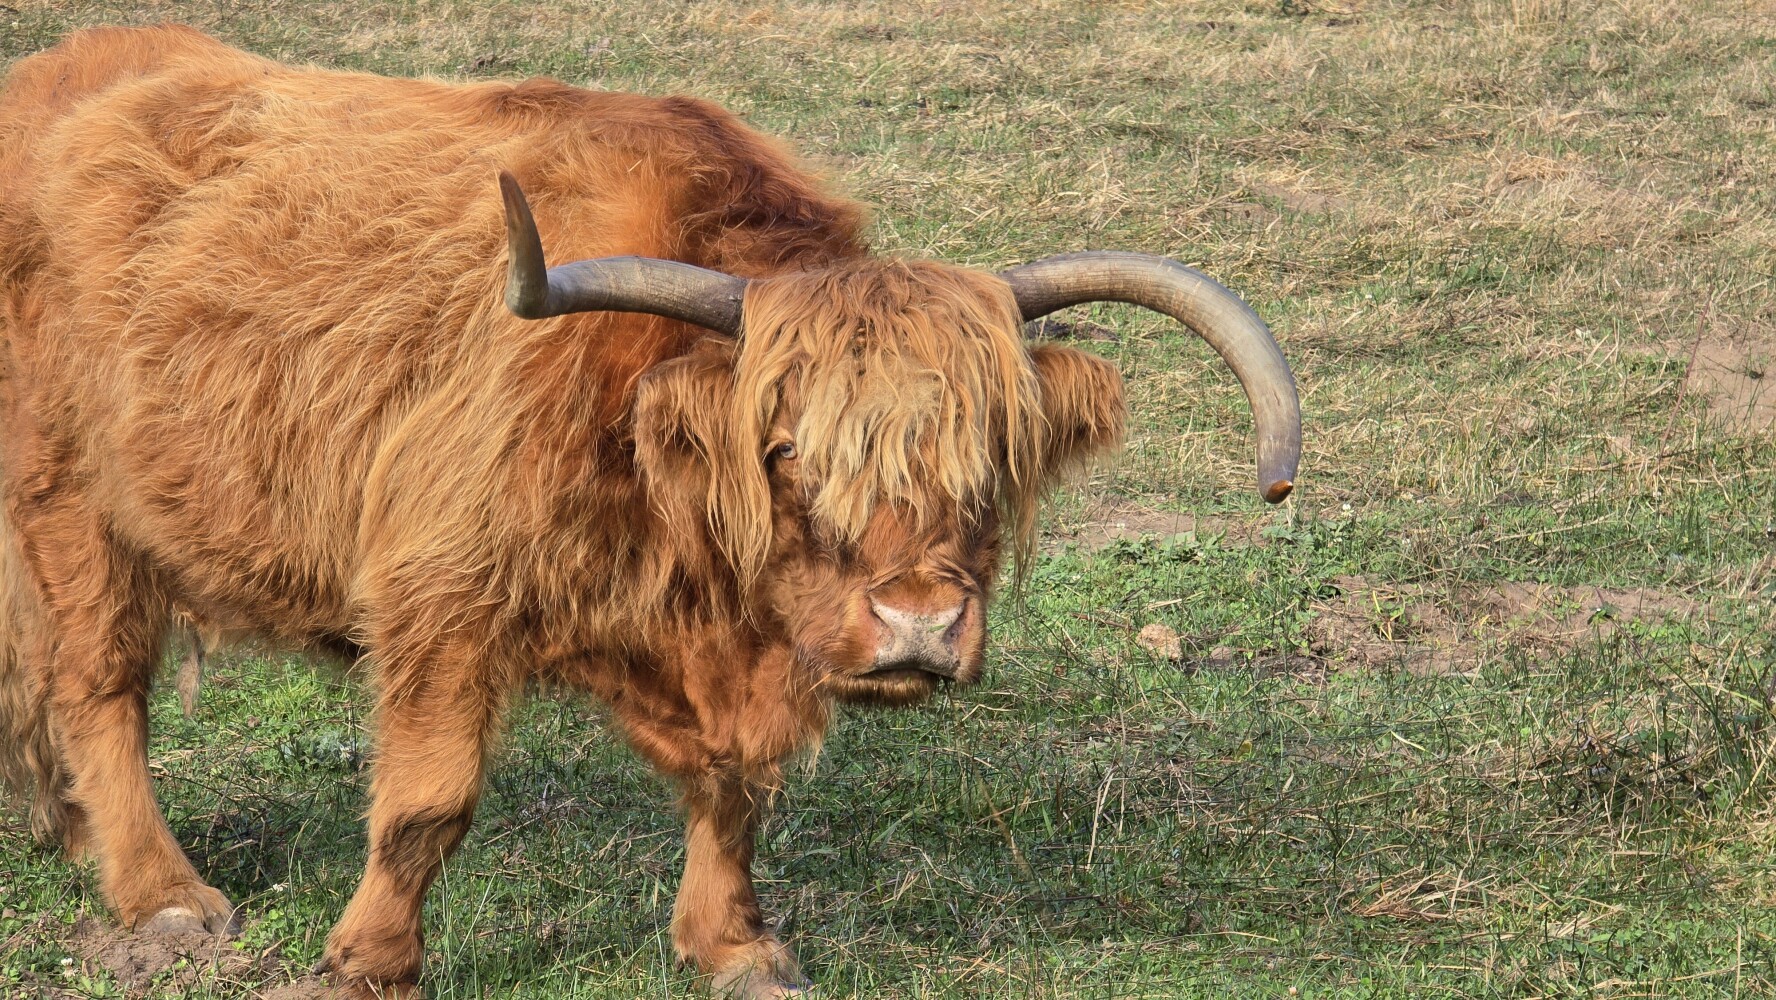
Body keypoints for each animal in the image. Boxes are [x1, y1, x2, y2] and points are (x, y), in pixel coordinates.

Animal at [0, 25, 1300, 999]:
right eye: (787, 450)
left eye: (986, 458)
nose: (920, 624)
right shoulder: (441, 591)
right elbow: (427, 803)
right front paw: (367, 962)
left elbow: (733, 790)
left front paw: (736, 947)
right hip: (70, 499)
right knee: (97, 684)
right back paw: (161, 894)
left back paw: (68, 832)